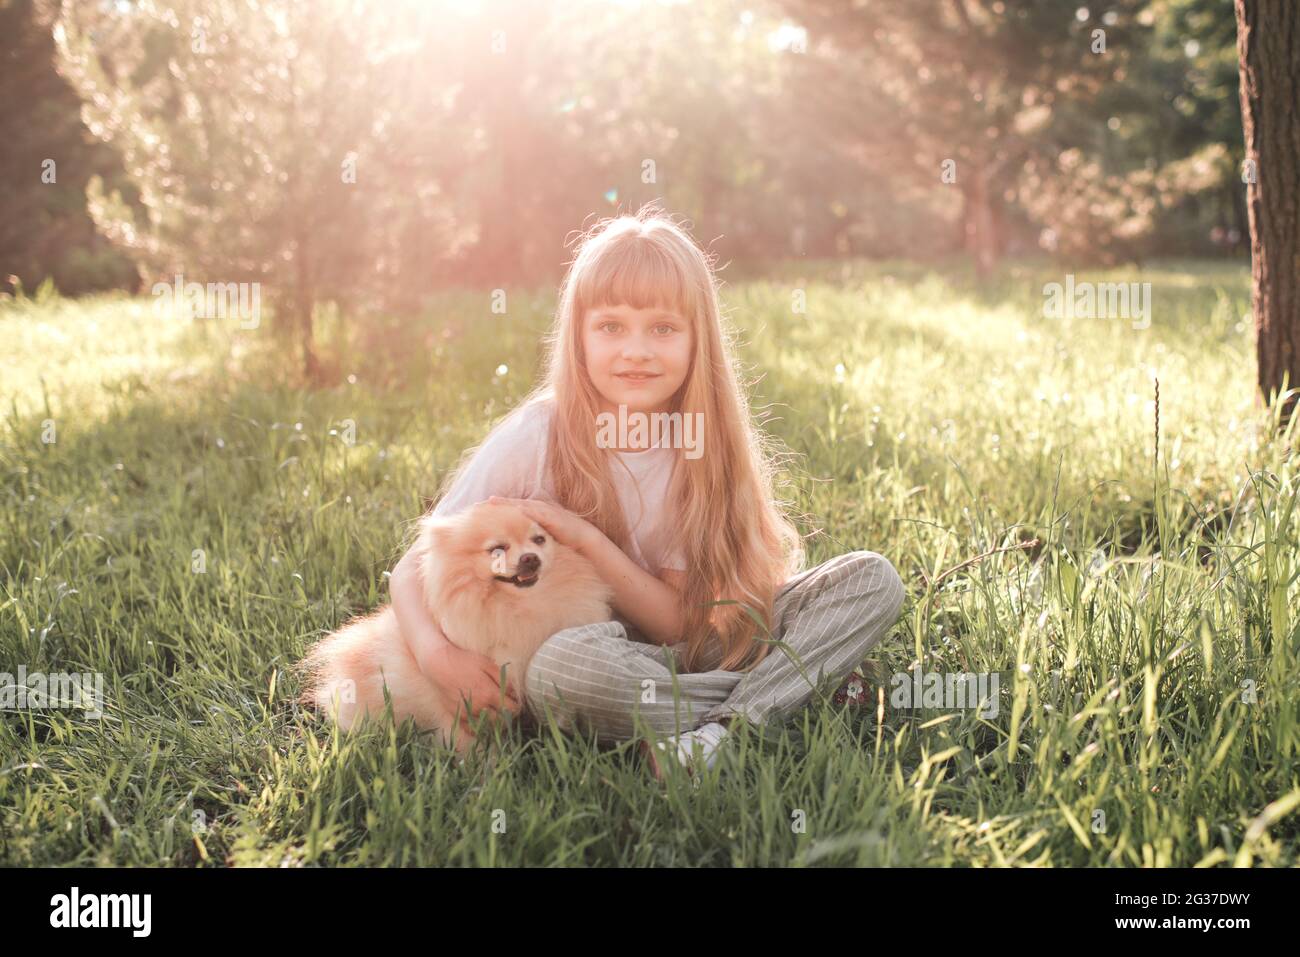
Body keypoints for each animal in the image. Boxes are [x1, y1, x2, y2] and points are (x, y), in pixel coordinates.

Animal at [299, 501, 613, 754]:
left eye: (539, 539)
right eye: (497, 549)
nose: (530, 558)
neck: (518, 607)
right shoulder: (454, 698)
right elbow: (468, 742)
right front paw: (485, 771)